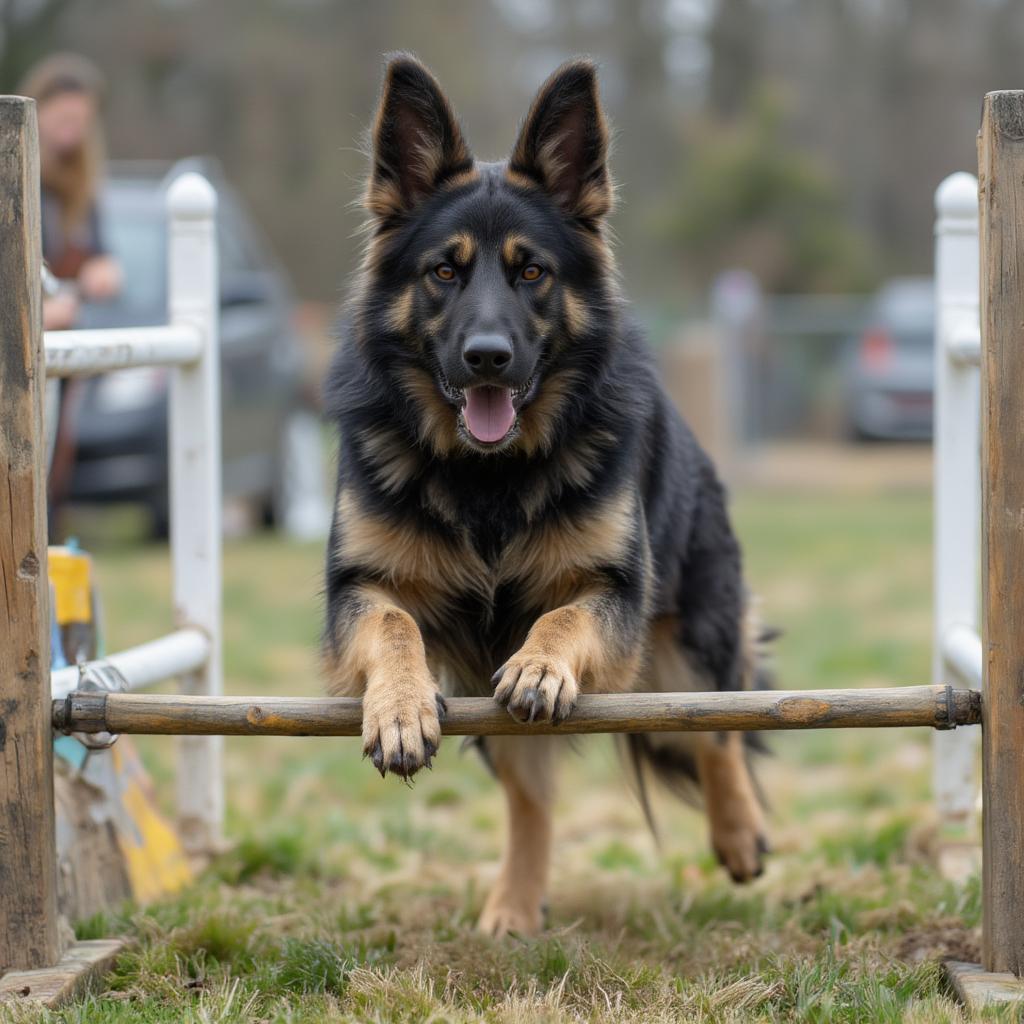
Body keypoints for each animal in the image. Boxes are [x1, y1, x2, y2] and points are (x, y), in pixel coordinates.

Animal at [319, 54, 770, 937]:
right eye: (444, 272)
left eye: (532, 271)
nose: (488, 357)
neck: (487, 477)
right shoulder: (358, 587)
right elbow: (392, 624)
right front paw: (399, 709)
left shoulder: (615, 592)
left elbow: (562, 618)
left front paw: (539, 666)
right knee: (532, 801)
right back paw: (514, 905)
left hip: (692, 640)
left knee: (718, 727)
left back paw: (739, 834)